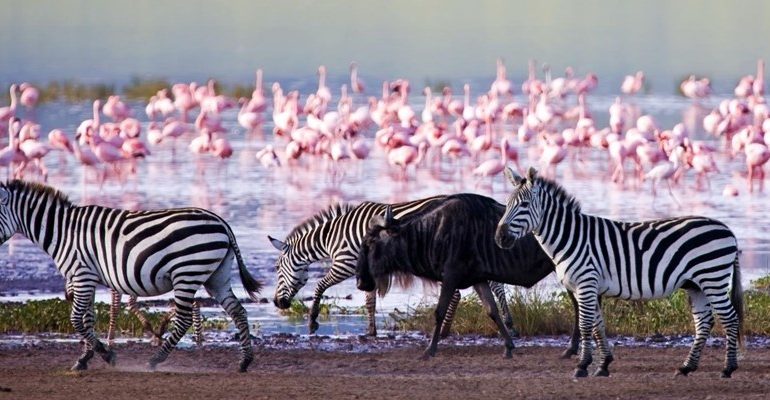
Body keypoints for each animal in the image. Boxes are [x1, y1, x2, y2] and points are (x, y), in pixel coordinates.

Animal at [0, 181, 260, 372]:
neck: (62, 232)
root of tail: (221, 222)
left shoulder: (82, 275)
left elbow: (76, 319)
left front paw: (106, 355)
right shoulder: (88, 278)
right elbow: (88, 319)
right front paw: (85, 358)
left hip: (187, 273)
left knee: (184, 319)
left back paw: (155, 360)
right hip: (216, 276)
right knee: (238, 310)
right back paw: (244, 361)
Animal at [268, 196, 516, 338]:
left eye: (278, 269)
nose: (277, 303)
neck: (332, 237)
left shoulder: (345, 264)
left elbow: (320, 286)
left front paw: (312, 322)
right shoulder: (366, 270)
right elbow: (369, 301)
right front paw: (371, 331)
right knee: (493, 285)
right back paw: (508, 323)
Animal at [496, 167, 740, 380]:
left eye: (525, 204)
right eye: (507, 205)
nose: (500, 237)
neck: (570, 237)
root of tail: (727, 229)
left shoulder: (586, 283)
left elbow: (585, 326)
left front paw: (582, 366)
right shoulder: (589, 287)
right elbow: (598, 326)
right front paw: (603, 365)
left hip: (712, 279)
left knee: (730, 319)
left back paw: (727, 368)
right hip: (696, 285)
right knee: (704, 323)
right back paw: (686, 367)